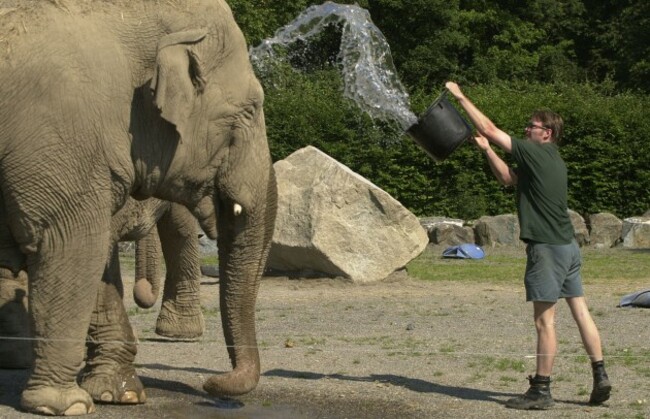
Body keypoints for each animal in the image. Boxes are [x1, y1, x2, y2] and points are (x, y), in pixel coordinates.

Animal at [0, 1, 276, 416]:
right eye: (250, 110)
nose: (211, 384)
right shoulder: (59, 132)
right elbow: (71, 244)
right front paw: (66, 405)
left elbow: (97, 258)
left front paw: (119, 393)